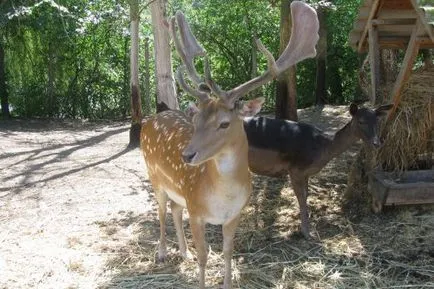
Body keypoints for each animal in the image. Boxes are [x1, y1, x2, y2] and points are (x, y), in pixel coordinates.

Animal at [141, 1, 320, 286]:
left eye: (224, 123)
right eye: (196, 119)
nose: (186, 155)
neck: (221, 198)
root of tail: (150, 119)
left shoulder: (234, 215)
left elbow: (228, 252)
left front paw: (226, 282)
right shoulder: (196, 211)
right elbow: (205, 257)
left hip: (176, 190)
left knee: (174, 208)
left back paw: (183, 252)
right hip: (154, 175)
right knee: (160, 211)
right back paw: (162, 253)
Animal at [244, 102, 394, 238]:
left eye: (378, 121)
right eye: (361, 121)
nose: (376, 143)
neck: (323, 148)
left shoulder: (305, 173)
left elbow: (306, 194)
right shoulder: (295, 169)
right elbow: (301, 197)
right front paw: (307, 233)